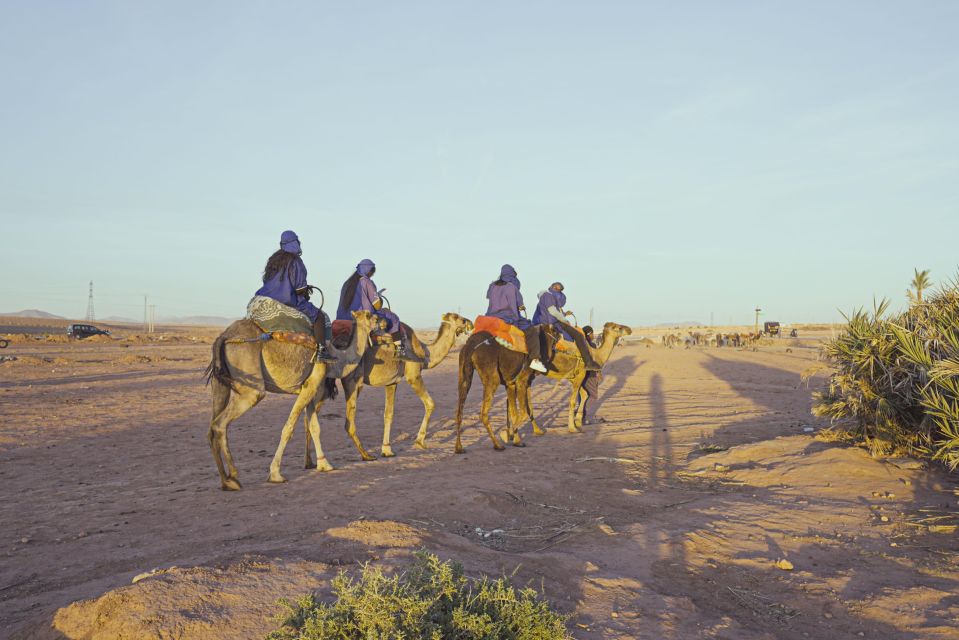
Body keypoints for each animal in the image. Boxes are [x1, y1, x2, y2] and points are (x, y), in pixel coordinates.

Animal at [206, 310, 378, 490]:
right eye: (369, 316)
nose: (381, 321)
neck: (337, 358)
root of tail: (224, 336)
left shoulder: (312, 391)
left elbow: (314, 427)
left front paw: (324, 464)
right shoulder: (311, 385)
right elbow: (289, 429)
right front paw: (275, 474)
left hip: (220, 384)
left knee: (212, 426)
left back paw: (225, 480)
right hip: (250, 385)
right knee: (220, 424)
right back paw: (233, 476)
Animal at [302, 312, 474, 464]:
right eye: (457, 317)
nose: (470, 323)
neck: (425, 353)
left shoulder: (392, 382)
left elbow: (388, 414)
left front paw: (387, 450)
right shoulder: (413, 374)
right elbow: (430, 403)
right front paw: (419, 441)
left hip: (324, 384)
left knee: (308, 416)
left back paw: (309, 462)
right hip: (352, 381)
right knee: (347, 422)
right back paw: (365, 455)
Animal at [454, 324, 560, 456]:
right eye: (555, 332)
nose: (560, 336)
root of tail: (471, 346)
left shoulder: (511, 384)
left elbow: (518, 411)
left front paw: (520, 439)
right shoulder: (521, 382)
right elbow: (523, 412)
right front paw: (508, 435)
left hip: (464, 375)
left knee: (459, 412)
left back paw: (459, 448)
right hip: (492, 379)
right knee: (483, 413)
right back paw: (498, 445)